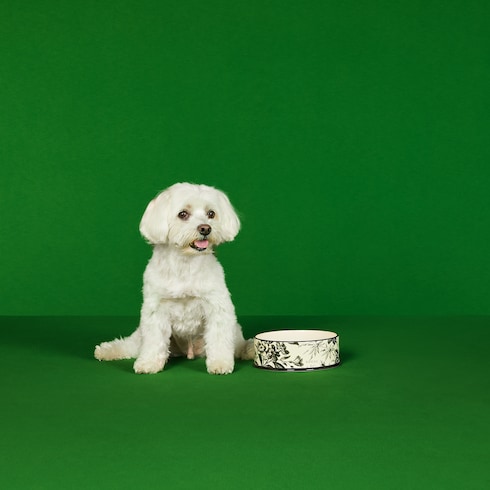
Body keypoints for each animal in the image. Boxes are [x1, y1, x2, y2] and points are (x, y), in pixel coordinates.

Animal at [94, 184, 253, 376]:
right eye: (182, 214)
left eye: (211, 213)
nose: (205, 228)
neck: (185, 263)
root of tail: (190, 352)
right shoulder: (155, 309)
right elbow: (154, 341)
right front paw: (149, 363)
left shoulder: (218, 306)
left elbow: (219, 338)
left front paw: (220, 363)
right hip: (141, 335)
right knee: (131, 345)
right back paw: (107, 350)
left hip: (234, 330)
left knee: (237, 344)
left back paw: (249, 349)